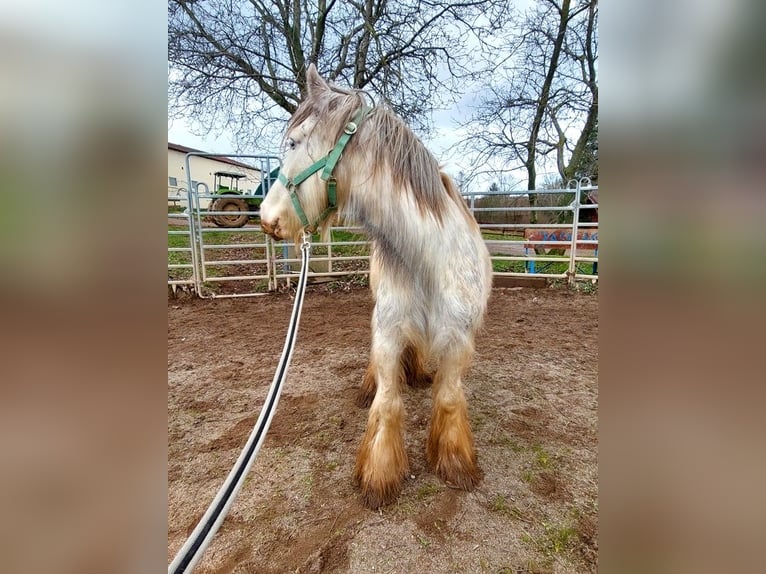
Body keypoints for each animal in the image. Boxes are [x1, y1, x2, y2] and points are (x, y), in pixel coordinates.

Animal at [260, 65, 496, 510]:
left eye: (294, 142)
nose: (267, 219)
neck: (427, 261)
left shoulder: (457, 339)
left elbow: (449, 397)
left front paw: (454, 463)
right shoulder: (387, 330)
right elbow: (387, 403)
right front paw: (380, 475)